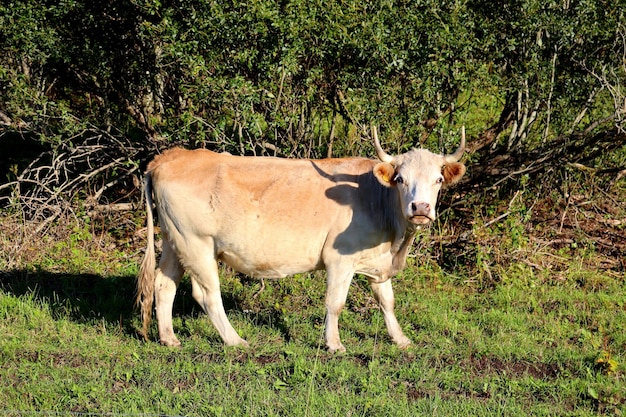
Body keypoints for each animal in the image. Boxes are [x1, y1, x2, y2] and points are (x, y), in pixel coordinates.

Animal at [135, 127, 464, 352]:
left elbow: (387, 301)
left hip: (174, 242)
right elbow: (335, 302)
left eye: (438, 179)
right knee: (207, 295)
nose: (420, 208)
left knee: (164, 286)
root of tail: (168, 157)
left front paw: (400, 338)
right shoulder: (341, 259)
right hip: (197, 244)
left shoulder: (377, 260)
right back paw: (236, 340)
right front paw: (334, 344)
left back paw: (169, 338)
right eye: (400, 179)